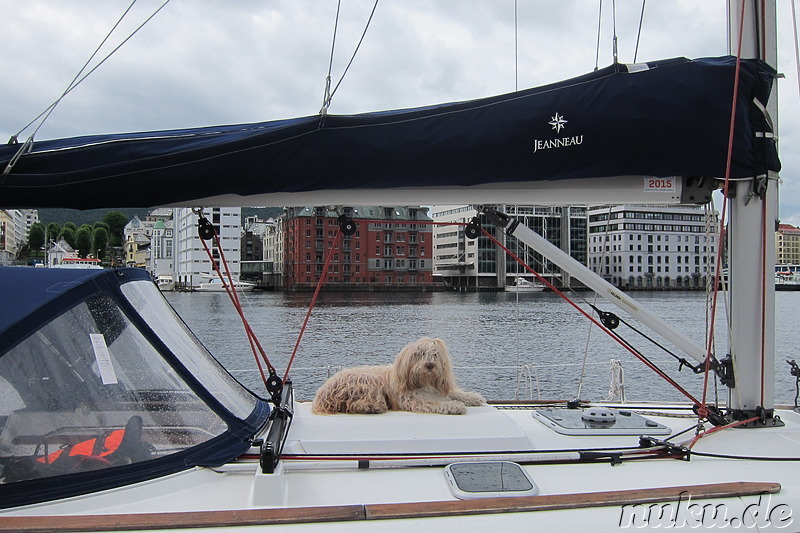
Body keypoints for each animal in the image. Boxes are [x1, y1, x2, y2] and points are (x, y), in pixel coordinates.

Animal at [310, 336, 484, 416]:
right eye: (420, 354)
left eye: (434, 355)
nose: (429, 365)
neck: (424, 383)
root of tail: (322, 394)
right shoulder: (413, 400)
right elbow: (435, 404)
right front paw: (455, 406)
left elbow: (455, 393)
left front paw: (473, 397)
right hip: (368, 380)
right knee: (352, 405)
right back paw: (372, 407)